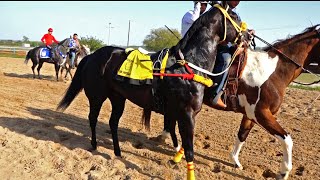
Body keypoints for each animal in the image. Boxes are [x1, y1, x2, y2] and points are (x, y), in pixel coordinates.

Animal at [56, 4, 244, 180]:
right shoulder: (186, 113)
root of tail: (92, 56)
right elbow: (189, 149)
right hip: (97, 97)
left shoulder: (183, 113)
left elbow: (181, 141)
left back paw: (117, 152)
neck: (188, 64)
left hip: (118, 97)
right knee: (93, 118)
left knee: (113, 122)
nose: (248, 35)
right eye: (235, 16)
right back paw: (94, 145)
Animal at [144, 24, 320, 180]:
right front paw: (283, 172)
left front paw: (235, 160)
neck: (272, 72)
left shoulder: (250, 115)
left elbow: (242, 135)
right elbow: (287, 139)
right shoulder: (261, 113)